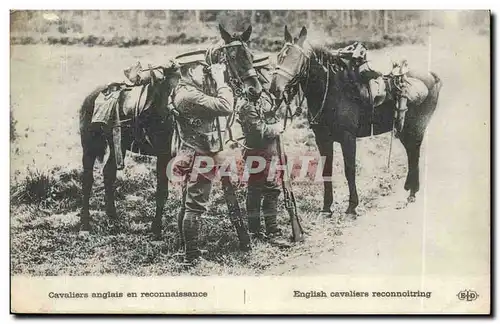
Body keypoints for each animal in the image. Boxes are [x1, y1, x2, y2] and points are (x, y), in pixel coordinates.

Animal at [270, 26, 442, 216]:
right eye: (279, 56)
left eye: (296, 58)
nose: (274, 88)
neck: (332, 91)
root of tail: (431, 76)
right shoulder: (322, 139)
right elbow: (326, 170)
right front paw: (327, 207)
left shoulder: (348, 138)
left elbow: (349, 170)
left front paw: (352, 206)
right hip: (404, 129)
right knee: (412, 152)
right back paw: (411, 190)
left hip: (415, 127)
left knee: (414, 151)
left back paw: (412, 192)